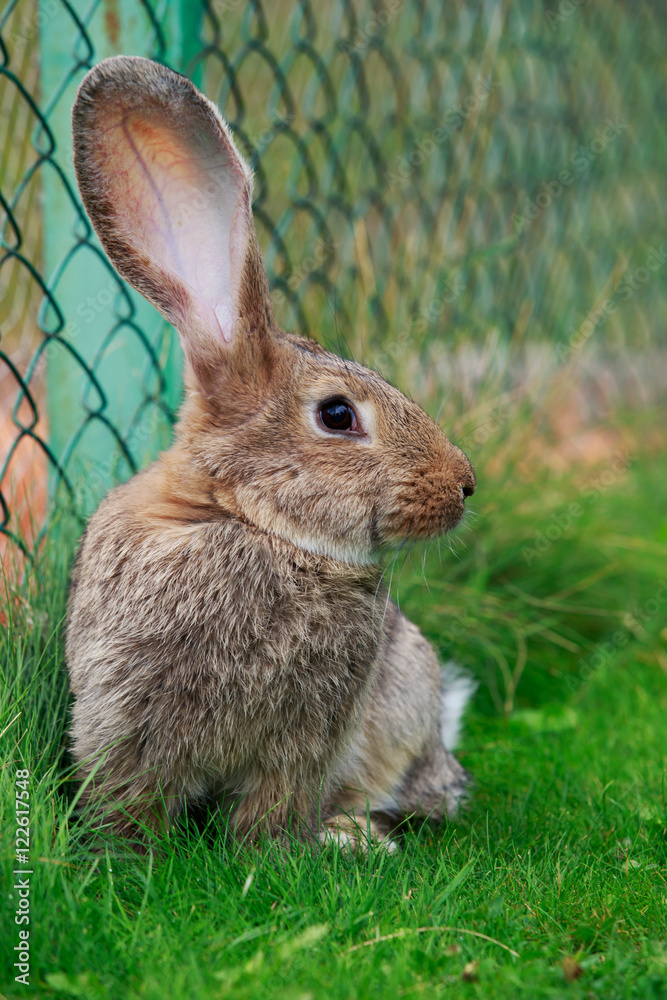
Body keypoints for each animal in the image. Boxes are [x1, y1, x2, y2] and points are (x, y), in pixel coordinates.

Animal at [66, 55, 477, 850]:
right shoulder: (124, 715)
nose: (464, 486)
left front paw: (269, 852)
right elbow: (131, 792)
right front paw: (124, 852)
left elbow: (276, 801)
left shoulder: (308, 734)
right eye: (338, 415)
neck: (250, 522)